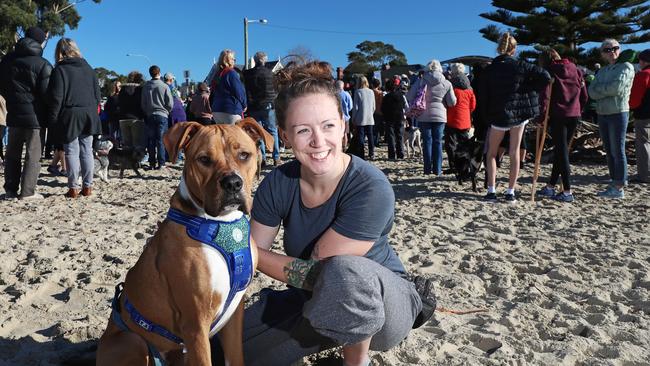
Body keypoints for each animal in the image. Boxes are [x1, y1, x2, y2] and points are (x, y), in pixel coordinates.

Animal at [95, 118, 272, 366]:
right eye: (204, 159)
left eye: (244, 155)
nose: (232, 184)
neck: (220, 224)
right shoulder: (195, 324)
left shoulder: (234, 315)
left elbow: (235, 357)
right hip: (134, 341)